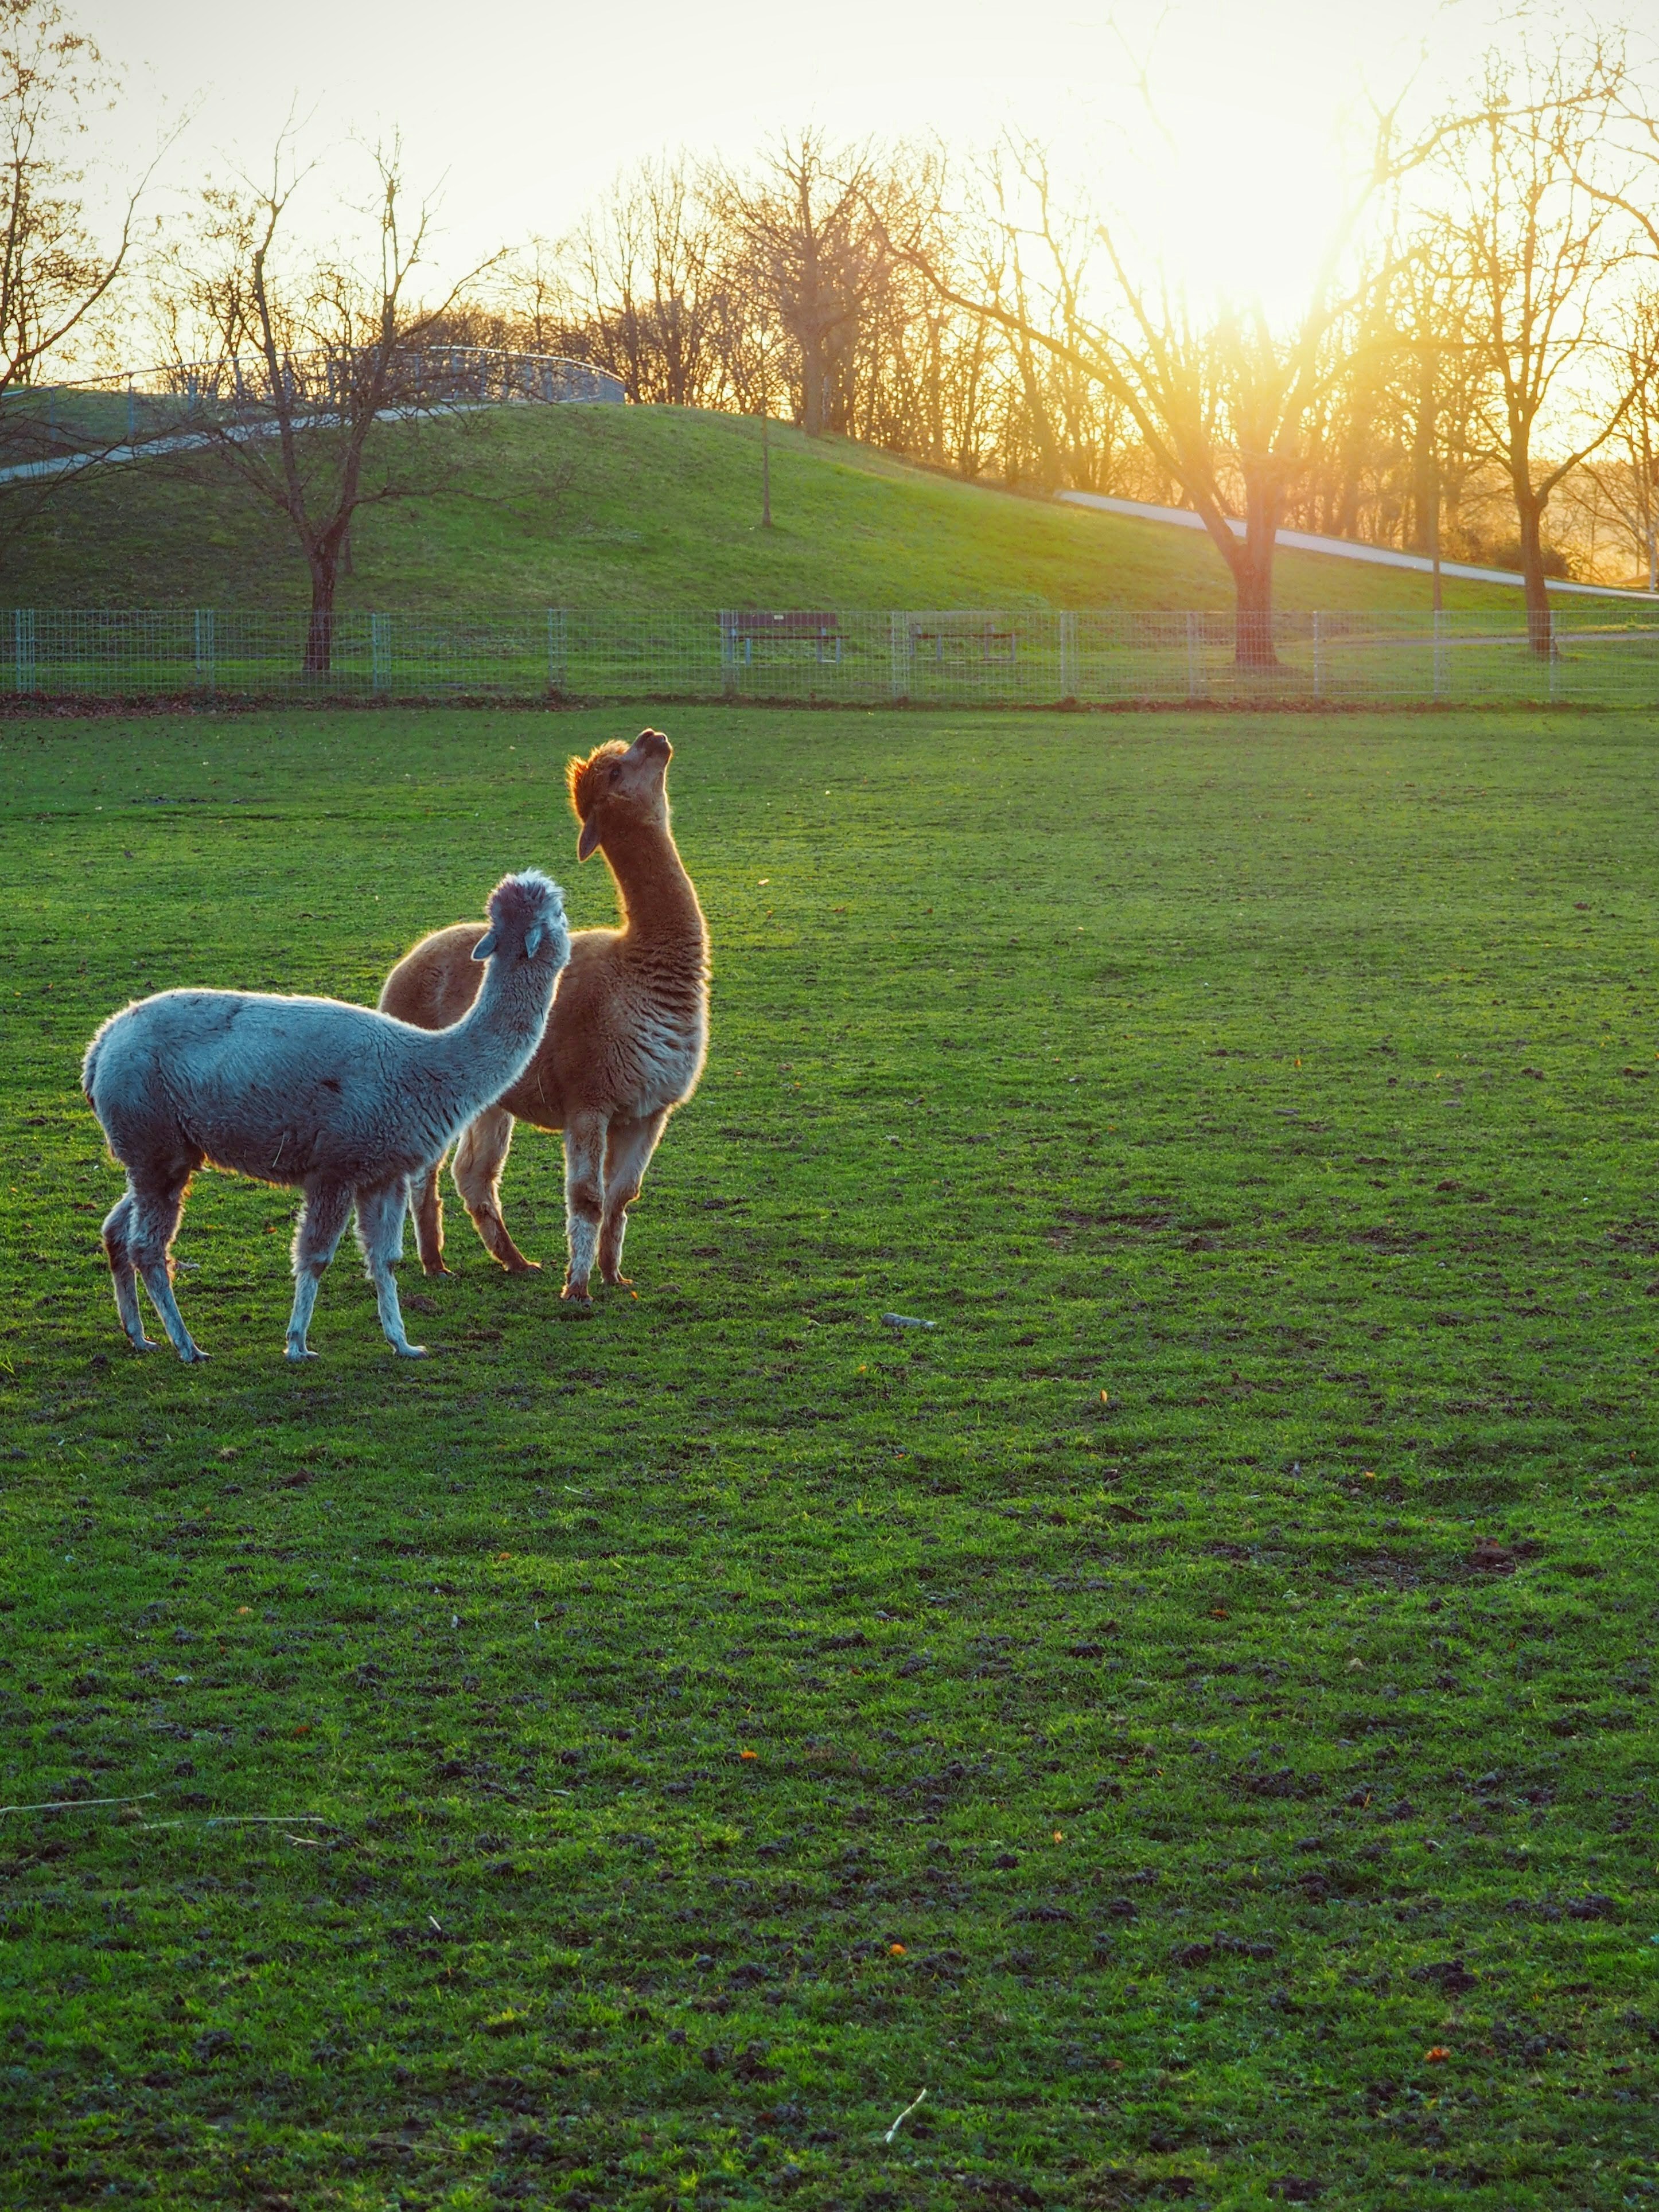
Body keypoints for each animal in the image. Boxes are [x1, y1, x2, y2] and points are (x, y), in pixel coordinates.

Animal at [81, 870, 571, 1363]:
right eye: (560, 912)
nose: (573, 925)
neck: (427, 1064)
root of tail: (100, 1046)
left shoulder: (383, 1171)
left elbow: (384, 1258)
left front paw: (403, 1342)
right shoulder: (336, 1166)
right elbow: (315, 1256)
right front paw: (298, 1343)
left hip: (165, 1150)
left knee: (116, 1229)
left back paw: (139, 1334)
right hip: (153, 1139)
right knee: (148, 1247)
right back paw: (187, 1345)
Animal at [379, 727, 709, 1301]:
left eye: (626, 753)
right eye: (617, 769)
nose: (654, 736)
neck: (642, 969)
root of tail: (410, 958)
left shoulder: (649, 1109)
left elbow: (623, 1195)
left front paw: (614, 1275)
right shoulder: (590, 1097)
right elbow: (587, 1197)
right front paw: (577, 1289)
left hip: (491, 1099)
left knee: (474, 1174)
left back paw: (513, 1261)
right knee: (428, 1172)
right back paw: (434, 1262)